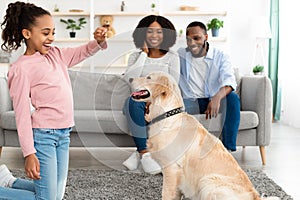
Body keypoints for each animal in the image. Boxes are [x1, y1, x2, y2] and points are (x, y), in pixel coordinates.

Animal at [129, 72, 282, 200]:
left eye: (149, 77)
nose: (129, 78)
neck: (167, 116)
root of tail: (255, 197)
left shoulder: (171, 169)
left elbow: (166, 194)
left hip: (208, 182)